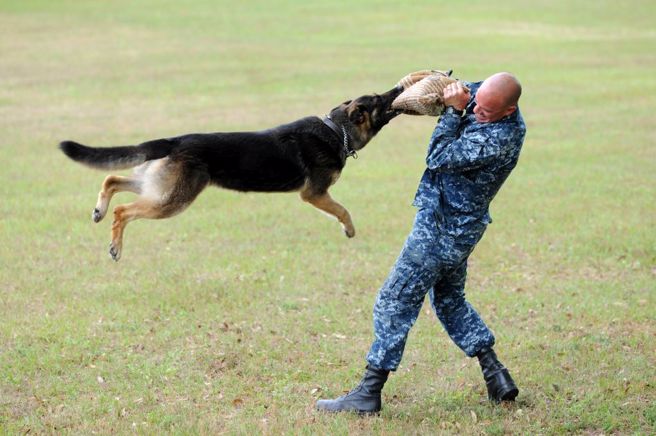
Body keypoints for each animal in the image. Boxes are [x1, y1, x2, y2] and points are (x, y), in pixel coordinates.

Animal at [59, 87, 402, 260]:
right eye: (379, 99)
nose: (399, 86)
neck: (336, 129)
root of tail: (174, 140)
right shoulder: (315, 193)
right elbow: (342, 210)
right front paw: (349, 229)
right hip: (172, 200)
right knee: (123, 210)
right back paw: (115, 245)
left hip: (159, 188)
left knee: (112, 179)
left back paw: (99, 211)